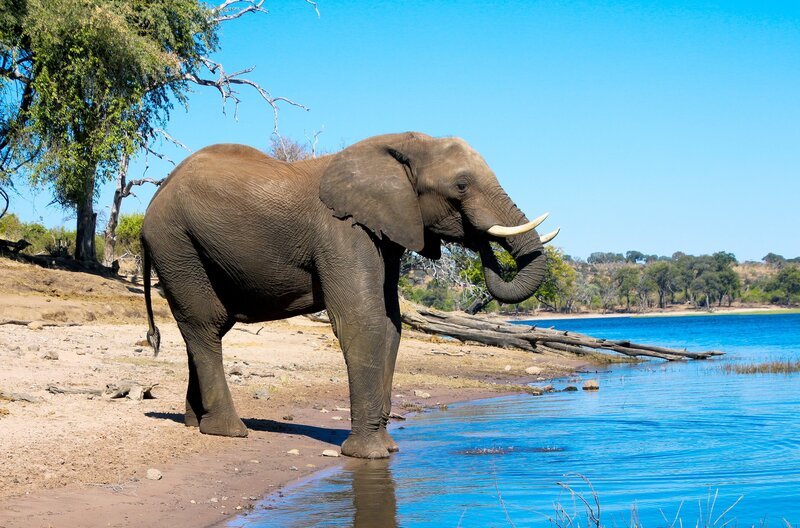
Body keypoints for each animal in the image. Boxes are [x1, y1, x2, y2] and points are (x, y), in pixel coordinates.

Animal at [141, 132, 558, 459]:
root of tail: (156, 196)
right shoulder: (342, 231)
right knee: (206, 323)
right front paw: (370, 455)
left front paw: (387, 448)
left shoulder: (385, 234)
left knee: (206, 328)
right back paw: (229, 430)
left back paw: (195, 422)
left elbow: (390, 325)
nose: (480, 240)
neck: (401, 144)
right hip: (176, 243)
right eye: (461, 186)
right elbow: (363, 321)